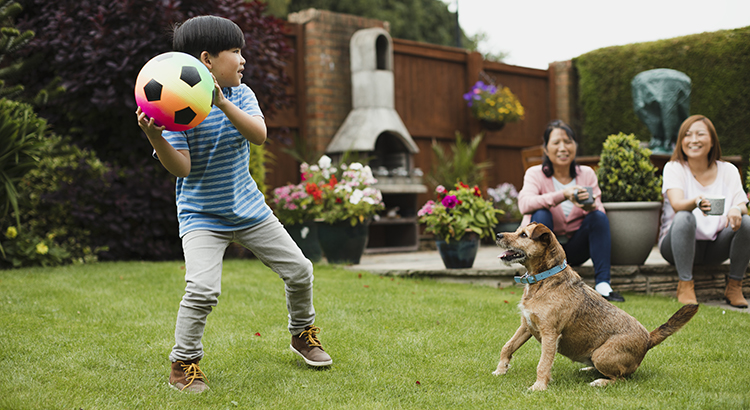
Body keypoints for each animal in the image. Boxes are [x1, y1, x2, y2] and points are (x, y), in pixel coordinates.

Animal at [494, 221, 700, 390]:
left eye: (523, 235)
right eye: (517, 230)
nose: (497, 235)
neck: (545, 278)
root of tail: (649, 338)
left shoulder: (550, 334)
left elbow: (543, 363)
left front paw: (539, 386)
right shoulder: (526, 326)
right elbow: (507, 346)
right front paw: (500, 370)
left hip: (601, 355)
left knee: (621, 379)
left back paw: (600, 381)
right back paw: (589, 370)